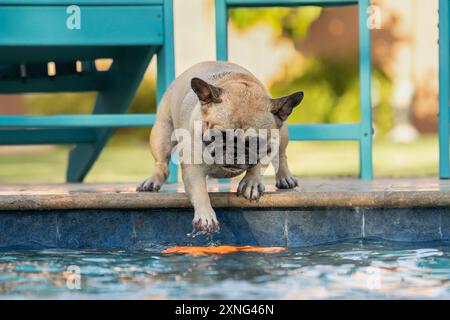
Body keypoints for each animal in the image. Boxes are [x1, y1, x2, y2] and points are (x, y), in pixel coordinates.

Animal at [136, 62, 302, 232]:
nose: (235, 152)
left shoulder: (271, 144)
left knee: (281, 155)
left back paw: (284, 177)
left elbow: (259, 164)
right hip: (162, 133)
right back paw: (153, 181)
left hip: (283, 134)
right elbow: (200, 191)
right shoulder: (192, 168)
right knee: (161, 163)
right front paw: (206, 215)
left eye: (255, 142)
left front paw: (251, 182)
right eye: (220, 135)